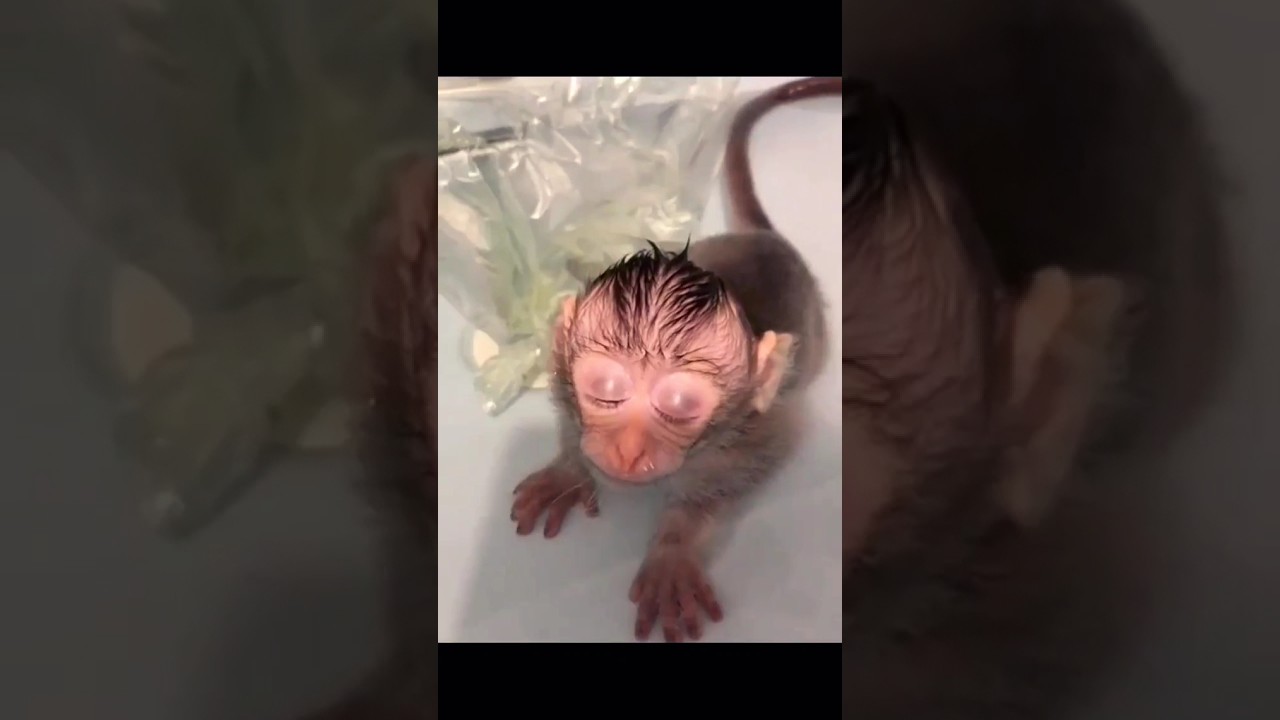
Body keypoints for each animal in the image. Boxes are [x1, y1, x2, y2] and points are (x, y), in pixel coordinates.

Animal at [509, 77, 842, 642]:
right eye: (604, 390)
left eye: (681, 403)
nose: (624, 451)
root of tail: (764, 239)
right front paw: (568, 470)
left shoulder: (756, 433)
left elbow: (738, 477)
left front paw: (673, 550)